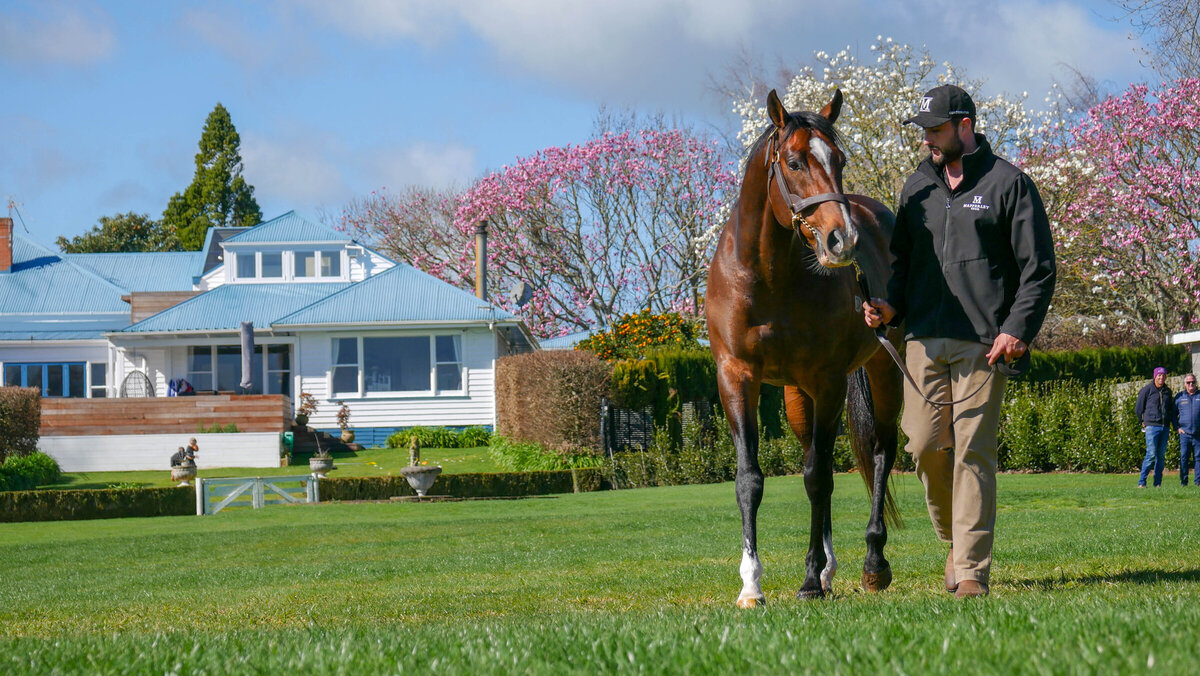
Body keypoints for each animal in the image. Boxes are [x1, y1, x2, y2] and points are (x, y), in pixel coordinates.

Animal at [705, 89, 903, 607]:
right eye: (794, 162)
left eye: (840, 160)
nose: (843, 239)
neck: (768, 277)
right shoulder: (736, 377)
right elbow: (750, 480)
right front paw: (751, 585)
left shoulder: (829, 381)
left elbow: (818, 479)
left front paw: (810, 579)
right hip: (799, 400)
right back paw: (834, 568)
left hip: (884, 372)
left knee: (881, 452)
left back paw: (873, 563)